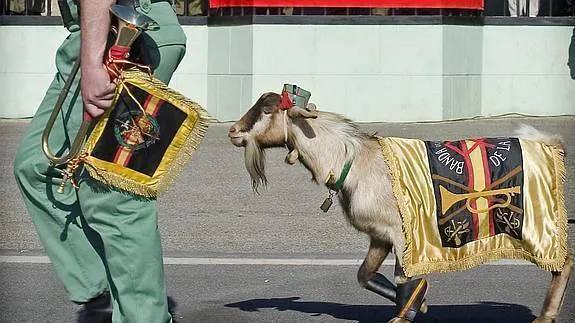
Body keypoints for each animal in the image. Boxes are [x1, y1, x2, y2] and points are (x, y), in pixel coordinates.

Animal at [228, 92, 572, 323]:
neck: (354, 161)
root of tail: (552, 146)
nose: (233, 131)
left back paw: (546, 315)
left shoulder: (402, 234)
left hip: (535, 224)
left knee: (564, 261)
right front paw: (422, 303)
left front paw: (406, 313)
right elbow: (365, 276)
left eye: (268, 109)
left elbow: (403, 279)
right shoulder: (378, 236)